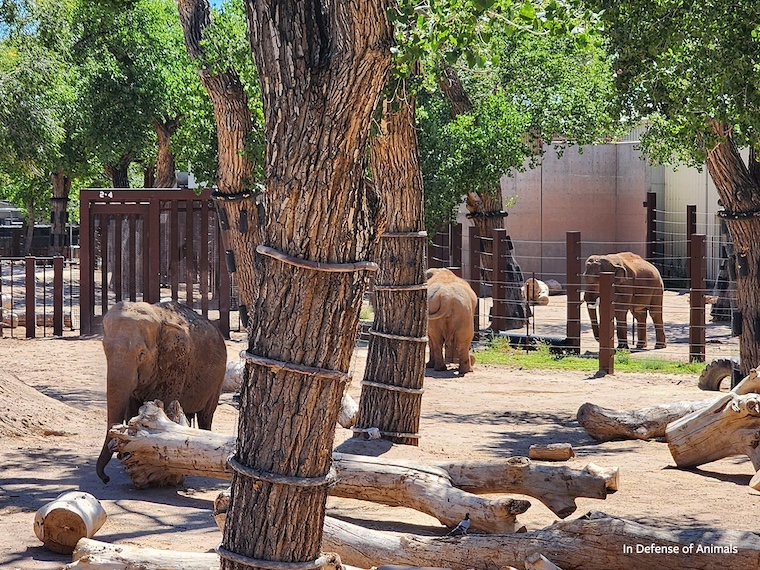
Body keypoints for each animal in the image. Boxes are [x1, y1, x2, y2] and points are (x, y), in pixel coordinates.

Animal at [96, 300, 227, 483]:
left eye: (141, 354)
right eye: (105, 349)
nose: (105, 478)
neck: (158, 316)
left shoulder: (176, 362)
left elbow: (162, 401)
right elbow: (132, 408)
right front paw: (128, 454)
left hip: (218, 380)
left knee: (206, 414)